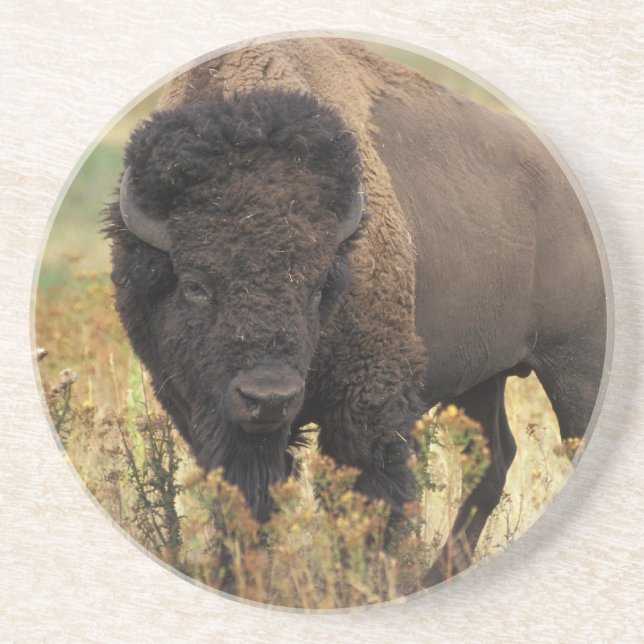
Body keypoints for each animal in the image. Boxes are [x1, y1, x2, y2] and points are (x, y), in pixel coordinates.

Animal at [106, 38, 607, 583]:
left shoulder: (368, 402)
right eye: (195, 284)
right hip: (483, 378)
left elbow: (367, 498)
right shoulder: (197, 406)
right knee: (494, 458)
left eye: (319, 285)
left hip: (576, 367)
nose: (269, 398)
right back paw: (436, 576)